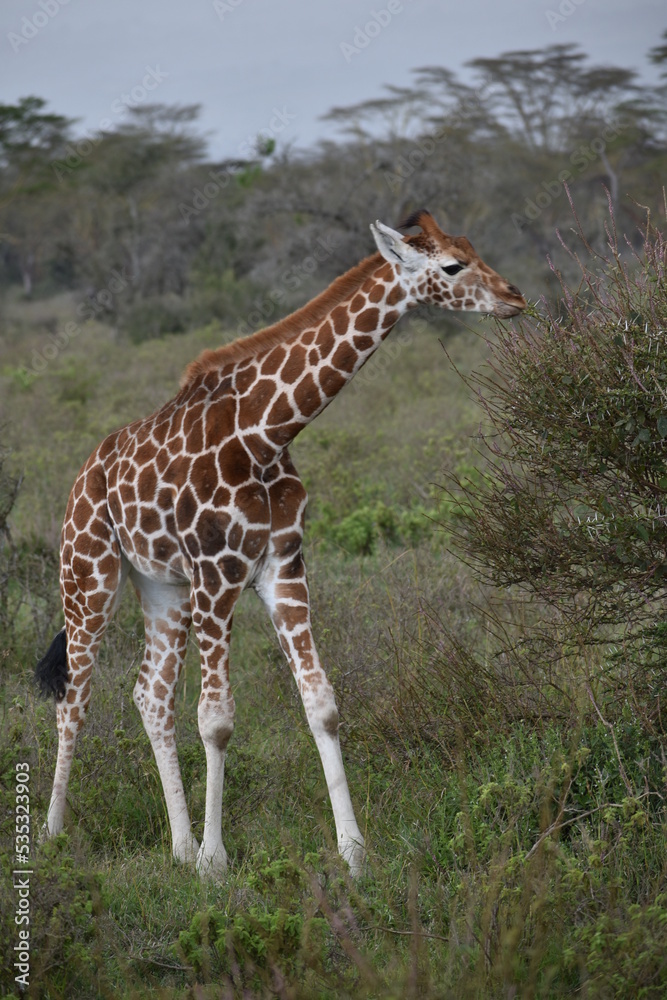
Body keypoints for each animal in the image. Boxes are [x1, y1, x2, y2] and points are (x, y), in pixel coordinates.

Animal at [36, 209, 526, 877]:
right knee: (76, 697)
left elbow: (321, 703)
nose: (514, 298)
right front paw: (216, 863)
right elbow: (216, 720)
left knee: (150, 695)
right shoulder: (218, 573)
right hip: (88, 574)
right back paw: (55, 836)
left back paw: (177, 846)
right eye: (452, 265)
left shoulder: (282, 568)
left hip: (162, 587)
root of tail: (85, 471)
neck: (267, 433)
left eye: (472, 248)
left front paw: (354, 853)